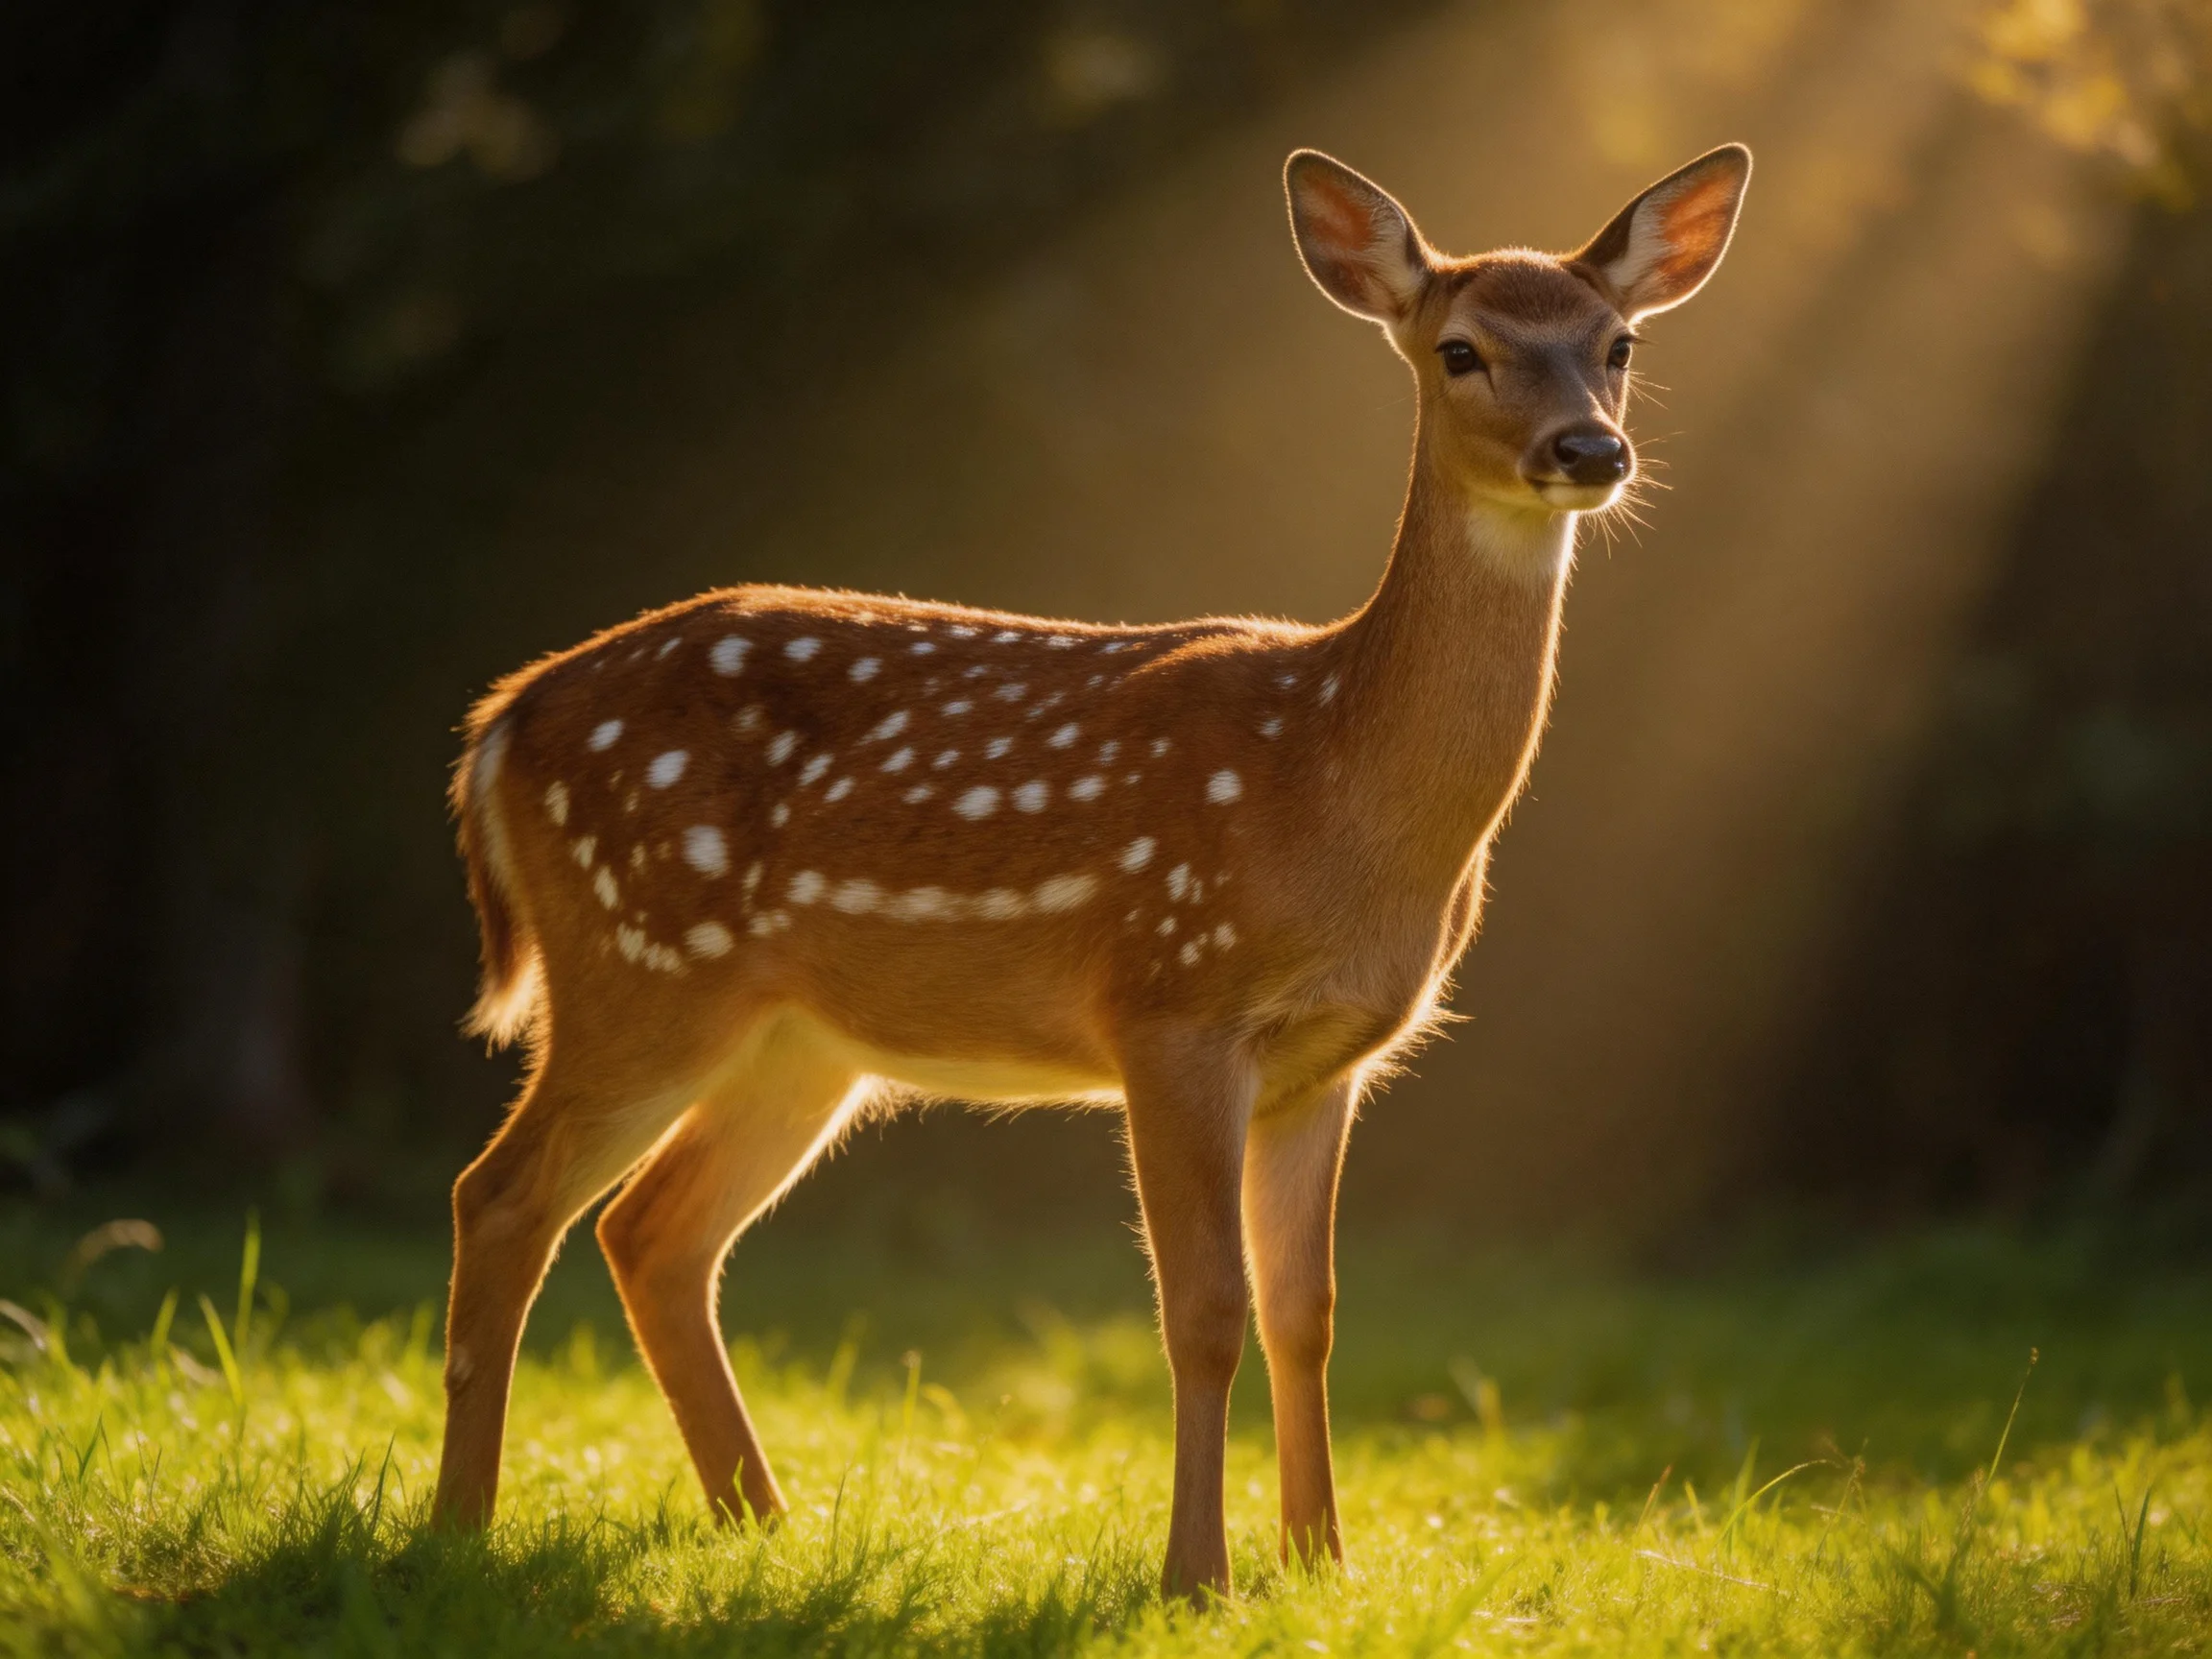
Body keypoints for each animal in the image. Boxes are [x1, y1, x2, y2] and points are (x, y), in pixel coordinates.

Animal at [432, 141, 1751, 1600]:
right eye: (1461, 349)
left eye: (1619, 344)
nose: (1588, 449)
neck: (1336, 784)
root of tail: (501, 723)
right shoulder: (1172, 1004)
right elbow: (1204, 1307)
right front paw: (1197, 1574)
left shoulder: (1331, 1057)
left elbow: (1307, 1312)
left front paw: (1323, 1563)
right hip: (638, 966)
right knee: (502, 1198)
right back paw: (461, 1532)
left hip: (797, 1041)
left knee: (653, 1230)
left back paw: (761, 1526)